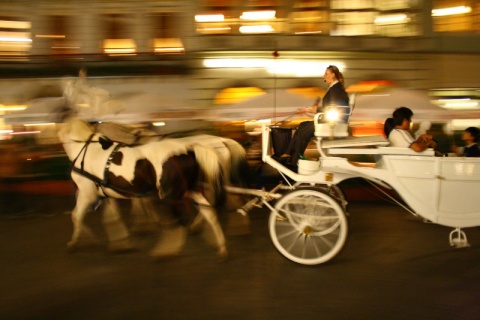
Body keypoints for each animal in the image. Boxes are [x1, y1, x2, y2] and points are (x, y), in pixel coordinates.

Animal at [58, 117, 231, 260]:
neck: (88, 151)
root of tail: (190, 149)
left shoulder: (87, 193)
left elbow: (77, 215)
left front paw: (76, 242)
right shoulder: (106, 193)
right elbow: (108, 216)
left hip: (172, 195)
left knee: (179, 221)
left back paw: (167, 249)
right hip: (192, 189)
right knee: (209, 212)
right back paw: (220, 245)